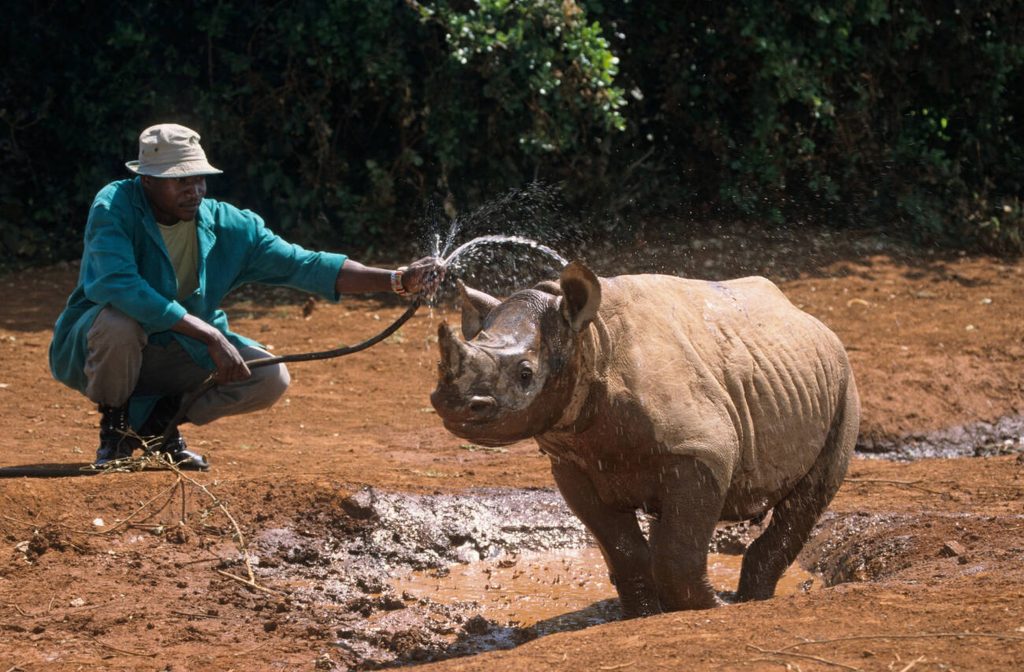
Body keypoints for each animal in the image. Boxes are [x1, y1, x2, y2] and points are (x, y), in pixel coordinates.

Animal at [430, 261, 859, 617]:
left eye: (525, 373)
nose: (453, 404)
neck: (589, 341)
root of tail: (807, 318)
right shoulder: (572, 464)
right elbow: (624, 550)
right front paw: (644, 614)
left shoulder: (701, 451)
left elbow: (679, 551)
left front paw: (711, 608)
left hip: (844, 383)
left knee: (810, 495)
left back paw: (749, 601)